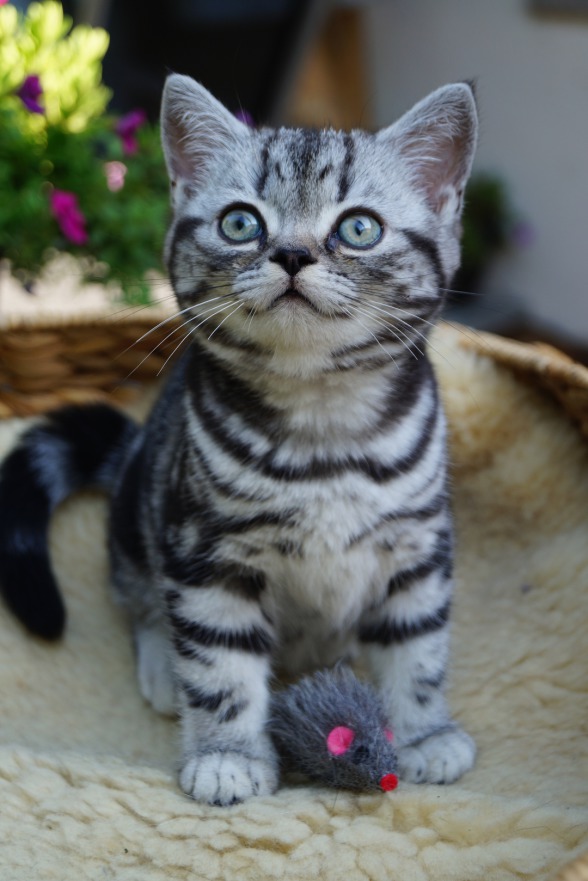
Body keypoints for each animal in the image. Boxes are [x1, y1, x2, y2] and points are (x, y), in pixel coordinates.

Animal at [0, 74, 478, 805]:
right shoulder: (207, 551)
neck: (322, 425)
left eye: (359, 228)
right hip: (143, 513)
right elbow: (220, 662)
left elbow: (417, 647)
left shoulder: (419, 548)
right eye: (240, 223)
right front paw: (227, 754)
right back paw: (162, 667)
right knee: (138, 597)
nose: (292, 254)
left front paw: (424, 732)